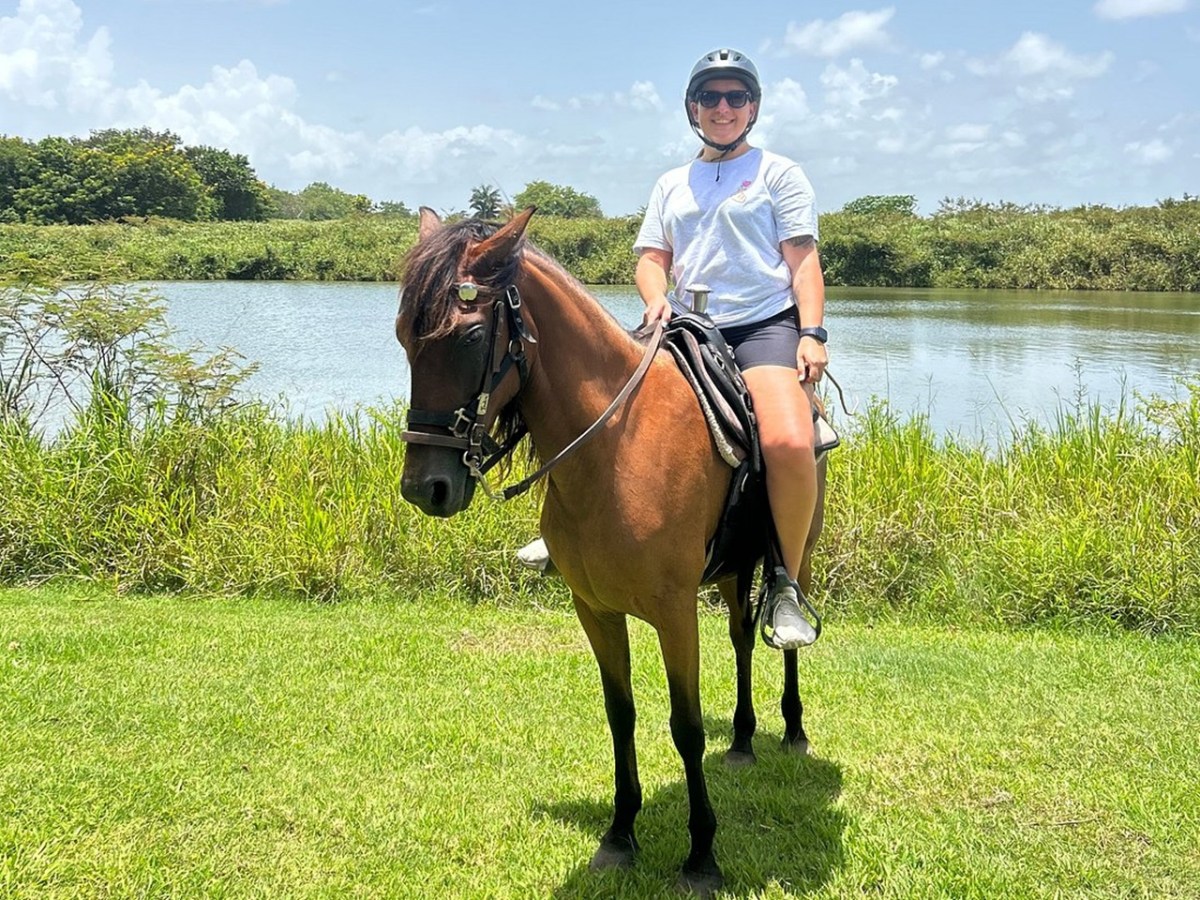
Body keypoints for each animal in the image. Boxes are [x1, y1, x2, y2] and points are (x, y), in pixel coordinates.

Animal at [396, 207, 827, 895]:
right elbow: (619, 715)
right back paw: (742, 741)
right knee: (739, 639)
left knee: (782, 637)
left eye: (468, 337)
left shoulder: (675, 613)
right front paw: (621, 834)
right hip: (730, 573)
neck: (616, 450)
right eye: (404, 338)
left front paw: (701, 854)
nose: (424, 488)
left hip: (798, 551)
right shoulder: (595, 610)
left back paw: (792, 728)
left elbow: (685, 727)